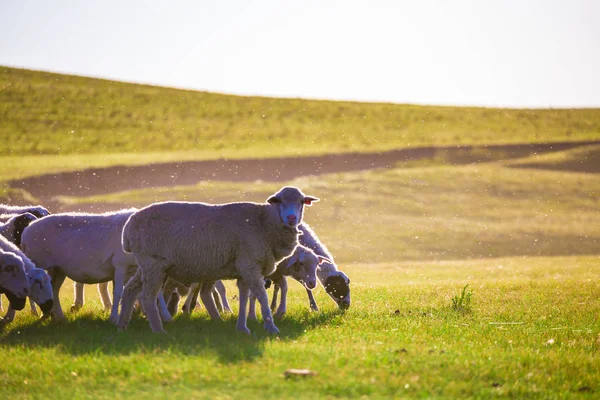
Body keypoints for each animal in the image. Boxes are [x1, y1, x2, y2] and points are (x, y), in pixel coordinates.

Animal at [19, 208, 165, 324]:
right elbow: (118, 292)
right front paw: (114, 318)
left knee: (54, 290)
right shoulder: (120, 266)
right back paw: (39, 314)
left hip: (58, 269)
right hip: (37, 262)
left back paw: (58, 317)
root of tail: (27, 230)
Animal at [116, 186, 318, 332]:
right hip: (153, 263)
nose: (291, 218)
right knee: (147, 296)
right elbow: (261, 296)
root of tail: (128, 227)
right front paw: (271, 326)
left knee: (130, 289)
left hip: (147, 265)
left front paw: (242, 328)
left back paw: (122, 325)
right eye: (280, 201)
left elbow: (244, 297)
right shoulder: (250, 265)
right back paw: (158, 330)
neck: (264, 222)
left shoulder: (244, 268)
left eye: (301, 202)